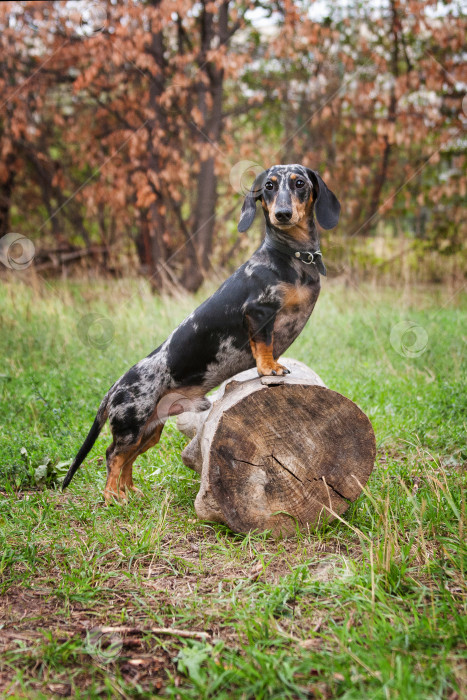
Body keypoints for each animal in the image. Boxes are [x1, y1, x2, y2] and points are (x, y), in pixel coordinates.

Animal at [61, 164, 340, 504]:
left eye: (300, 183)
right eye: (269, 186)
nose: (283, 214)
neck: (292, 257)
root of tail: (113, 389)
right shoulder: (259, 311)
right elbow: (263, 345)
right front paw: (269, 368)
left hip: (150, 431)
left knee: (128, 458)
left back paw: (131, 490)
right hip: (132, 424)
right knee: (112, 455)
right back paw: (114, 497)